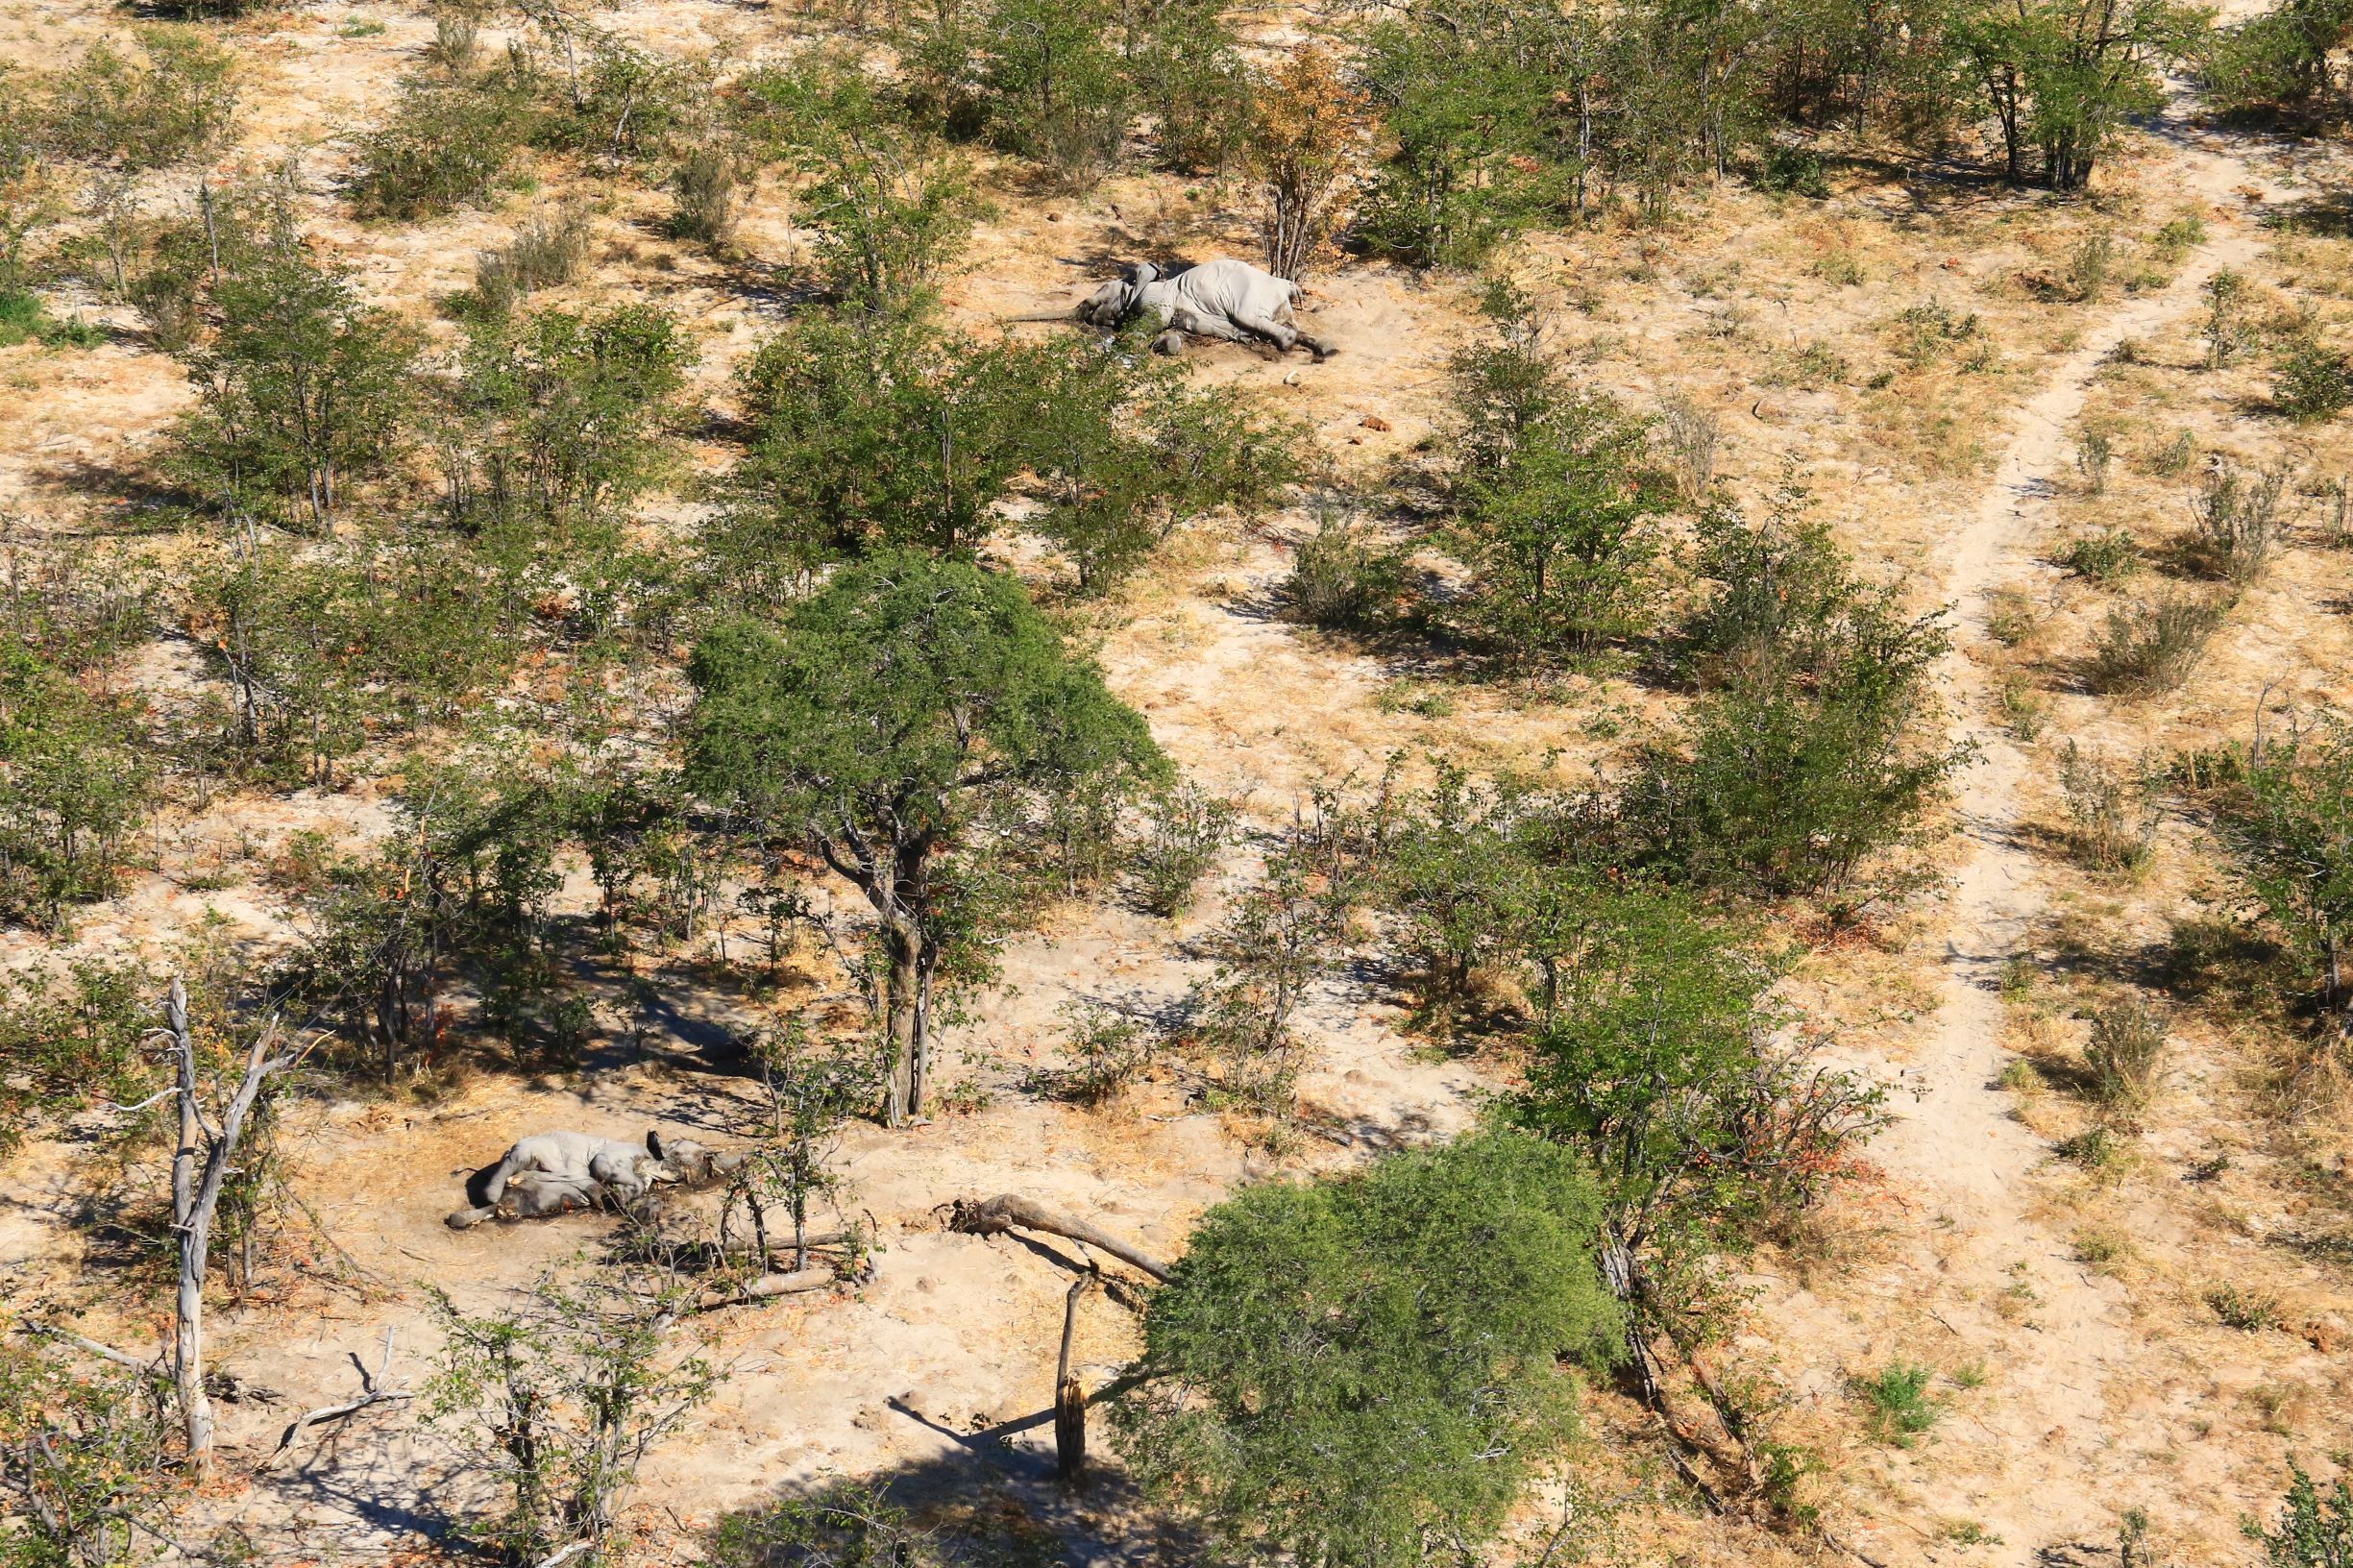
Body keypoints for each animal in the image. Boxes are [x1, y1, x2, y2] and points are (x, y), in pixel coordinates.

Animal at [1020, 259, 1333, 360]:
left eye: (1101, 293)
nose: (1087, 310)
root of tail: (1287, 285)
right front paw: (1167, 343)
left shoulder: (1155, 299)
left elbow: (1151, 324)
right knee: (1292, 325)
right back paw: (1325, 349)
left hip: (1254, 296)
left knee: (1252, 317)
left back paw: (1288, 343)